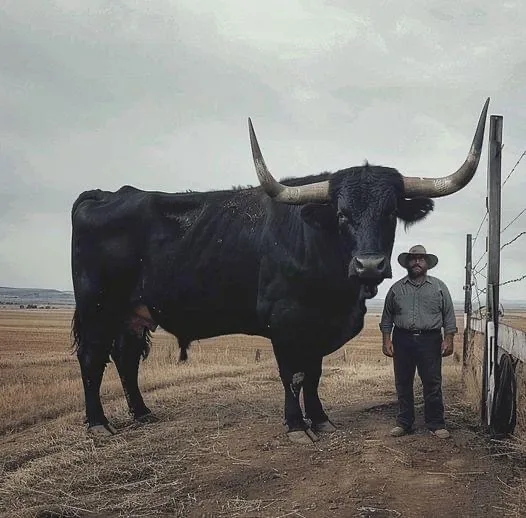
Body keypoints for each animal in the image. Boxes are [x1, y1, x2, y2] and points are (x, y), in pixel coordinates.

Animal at [70, 99, 490, 444]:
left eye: (390, 214)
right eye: (341, 214)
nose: (369, 265)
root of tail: (106, 194)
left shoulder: (319, 328)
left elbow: (315, 373)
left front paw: (320, 420)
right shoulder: (285, 323)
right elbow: (294, 375)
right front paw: (296, 427)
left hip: (132, 312)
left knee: (125, 357)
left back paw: (142, 413)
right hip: (97, 307)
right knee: (92, 358)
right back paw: (98, 424)